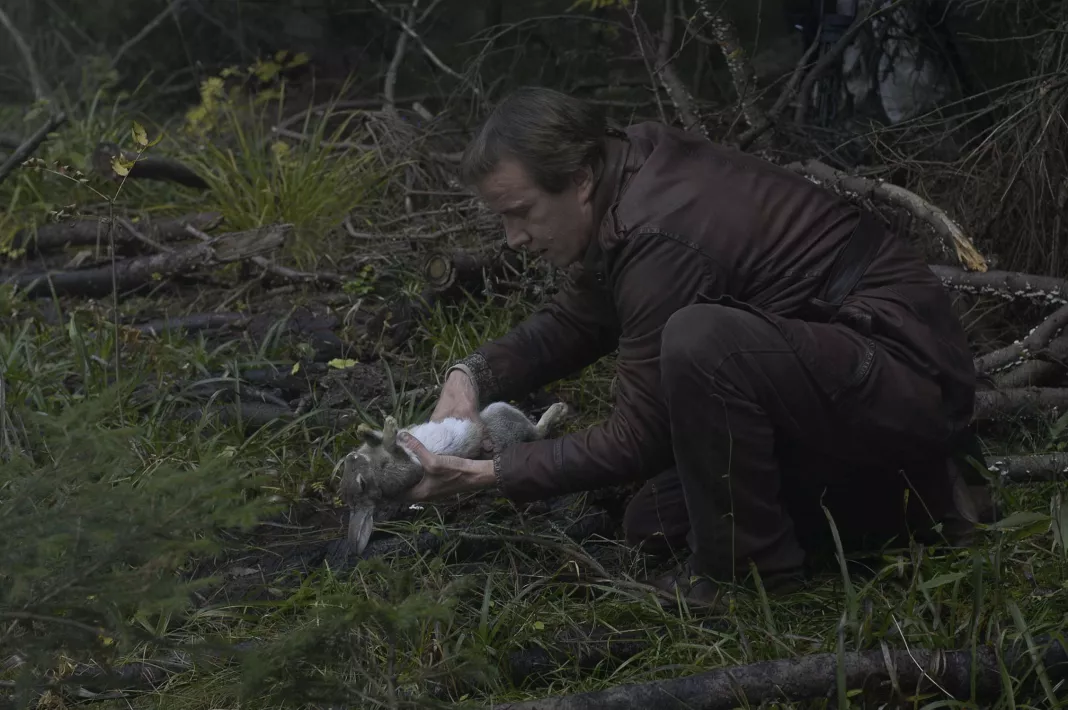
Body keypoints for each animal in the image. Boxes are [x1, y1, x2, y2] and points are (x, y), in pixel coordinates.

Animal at [339, 401, 568, 555]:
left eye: (351, 463)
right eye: (362, 484)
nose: (351, 457)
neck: (376, 466)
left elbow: (383, 441)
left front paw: (365, 430)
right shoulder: (407, 470)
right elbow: (397, 450)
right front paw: (389, 426)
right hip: (504, 414)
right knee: (538, 432)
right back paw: (557, 410)